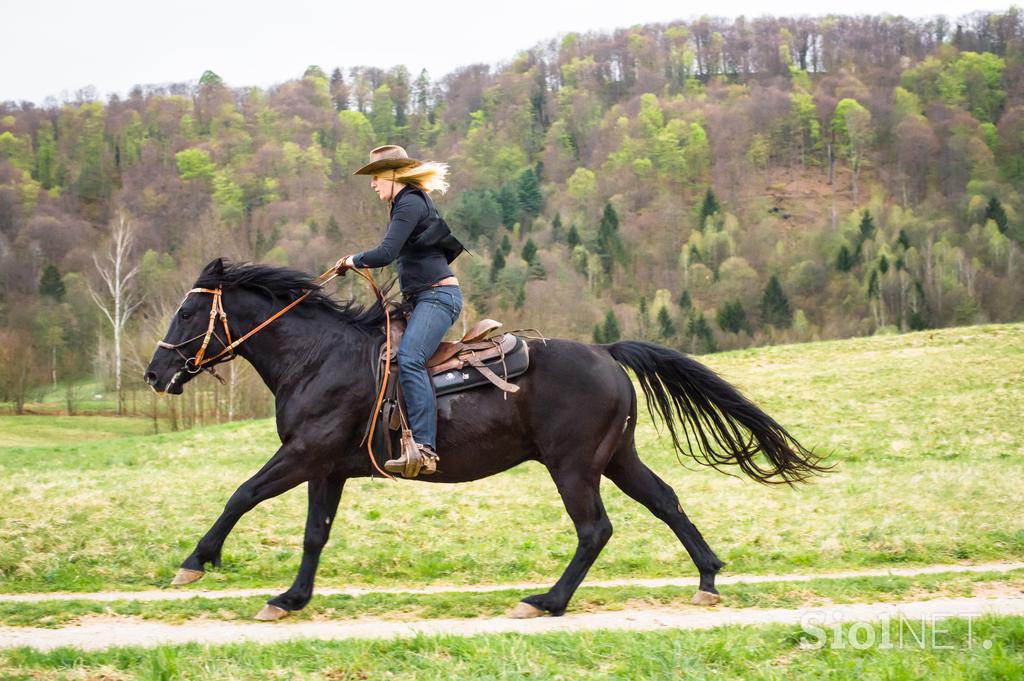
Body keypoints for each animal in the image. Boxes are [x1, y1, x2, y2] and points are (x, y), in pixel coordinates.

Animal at [146, 258, 831, 618]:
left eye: (187, 312)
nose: (155, 373)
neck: (317, 357)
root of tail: (607, 353)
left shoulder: (303, 454)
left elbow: (242, 494)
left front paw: (194, 563)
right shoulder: (327, 467)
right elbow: (316, 532)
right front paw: (292, 598)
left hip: (573, 466)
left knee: (595, 530)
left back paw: (548, 600)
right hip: (617, 458)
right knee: (665, 501)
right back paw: (708, 577)